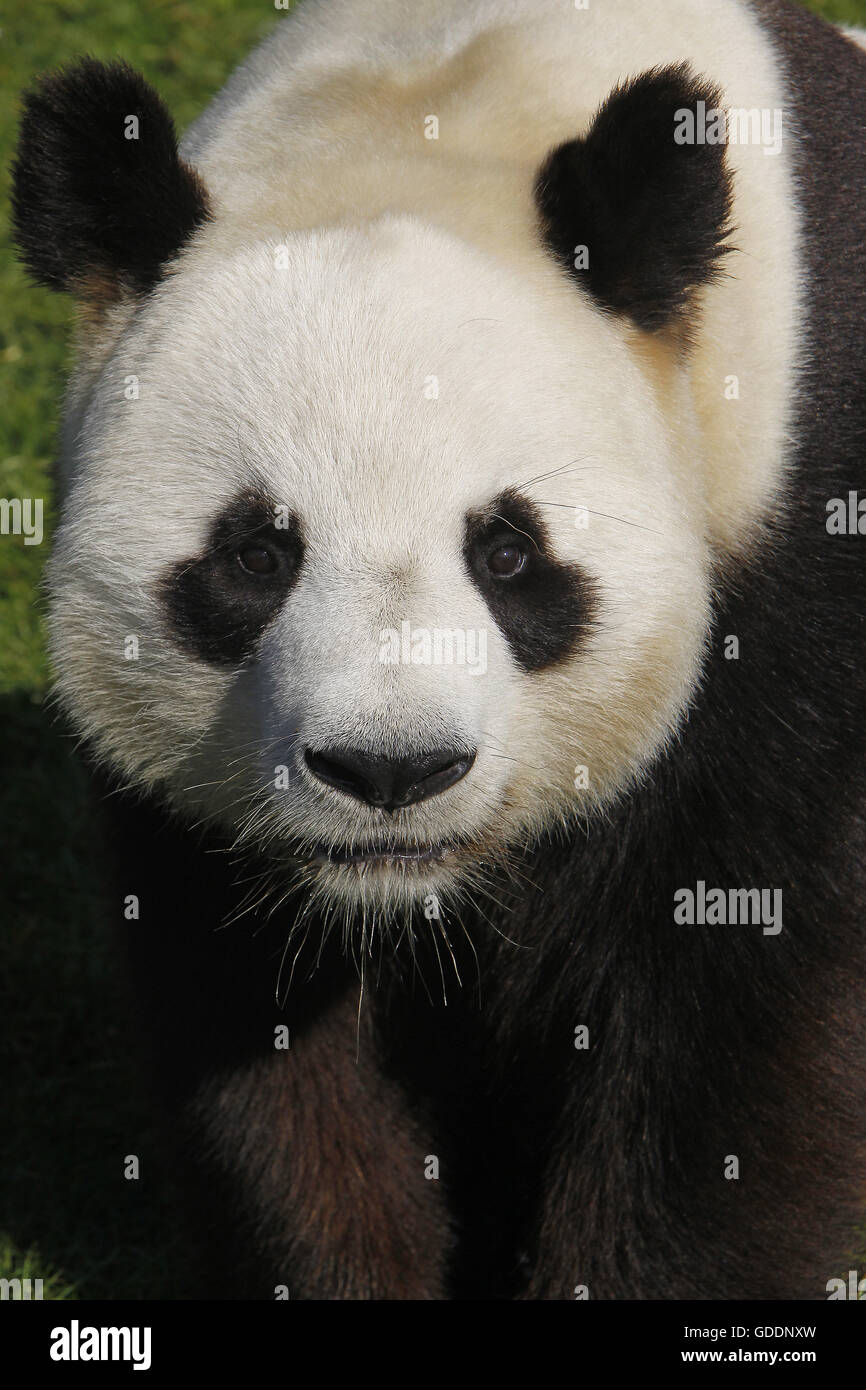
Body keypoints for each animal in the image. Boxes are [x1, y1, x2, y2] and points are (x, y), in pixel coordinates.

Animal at [10, 0, 866, 1301]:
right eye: (256, 555)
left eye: (506, 553)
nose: (389, 770)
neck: (441, 89)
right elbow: (262, 1040)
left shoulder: (793, 565)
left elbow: (735, 1027)